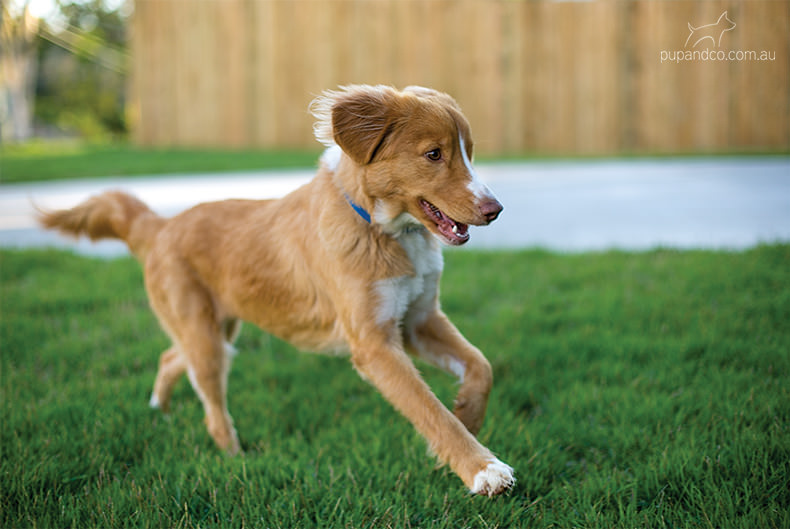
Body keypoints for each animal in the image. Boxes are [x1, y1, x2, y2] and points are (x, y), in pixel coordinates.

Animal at [40, 83, 516, 496]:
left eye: (469, 152)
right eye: (433, 154)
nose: (495, 211)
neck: (386, 230)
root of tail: (159, 225)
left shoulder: (418, 319)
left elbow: (481, 366)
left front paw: (468, 415)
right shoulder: (375, 344)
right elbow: (430, 411)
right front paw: (482, 468)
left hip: (218, 328)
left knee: (171, 357)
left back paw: (160, 407)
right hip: (204, 334)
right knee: (210, 405)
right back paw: (235, 459)